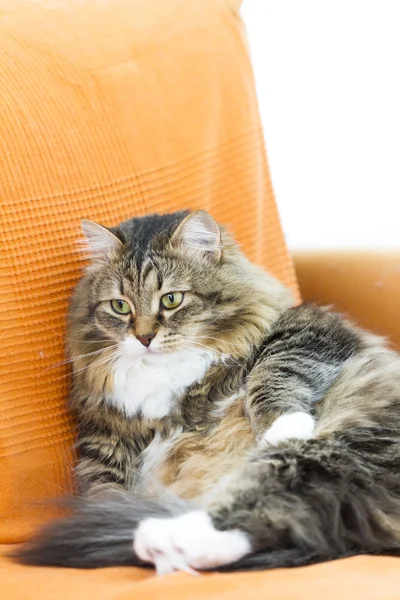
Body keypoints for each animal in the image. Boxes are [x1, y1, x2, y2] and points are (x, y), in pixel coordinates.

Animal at [14, 209, 400, 576]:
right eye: (120, 306)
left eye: (171, 300)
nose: (143, 338)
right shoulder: (105, 443)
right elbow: (105, 493)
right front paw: (104, 516)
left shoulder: (311, 330)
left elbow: (273, 368)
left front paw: (281, 425)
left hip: (336, 447)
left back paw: (159, 537)